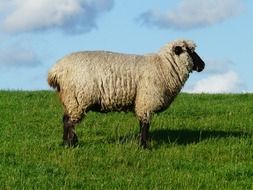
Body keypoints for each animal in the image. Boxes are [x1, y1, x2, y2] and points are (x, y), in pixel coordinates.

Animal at [48, 39, 206, 148]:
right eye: (190, 51)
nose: (203, 65)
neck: (163, 65)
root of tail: (56, 70)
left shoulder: (142, 102)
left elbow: (142, 124)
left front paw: (142, 144)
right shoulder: (146, 100)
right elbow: (145, 124)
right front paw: (144, 146)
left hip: (69, 99)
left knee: (65, 119)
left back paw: (66, 143)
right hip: (78, 98)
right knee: (69, 121)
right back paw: (70, 144)